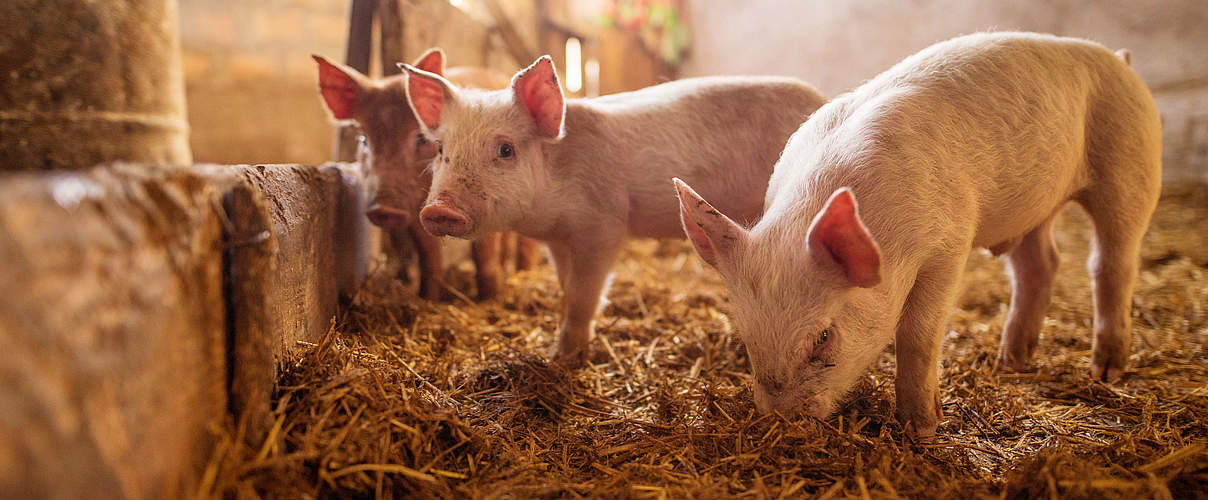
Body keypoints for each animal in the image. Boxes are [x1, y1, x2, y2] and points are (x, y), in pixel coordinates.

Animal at [401, 54, 826, 362]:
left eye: (505, 150)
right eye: (441, 149)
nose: (438, 210)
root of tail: (823, 98)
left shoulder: (602, 226)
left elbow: (583, 294)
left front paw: (562, 358)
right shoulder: (558, 241)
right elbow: (566, 288)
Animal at [676, 32, 1154, 437]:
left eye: (823, 337)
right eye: (745, 332)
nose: (781, 420)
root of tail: (1120, 60)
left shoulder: (948, 245)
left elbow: (917, 334)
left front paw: (922, 430)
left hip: (1130, 163)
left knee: (1112, 261)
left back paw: (1107, 371)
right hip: (1034, 206)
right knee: (1040, 265)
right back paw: (1011, 363)